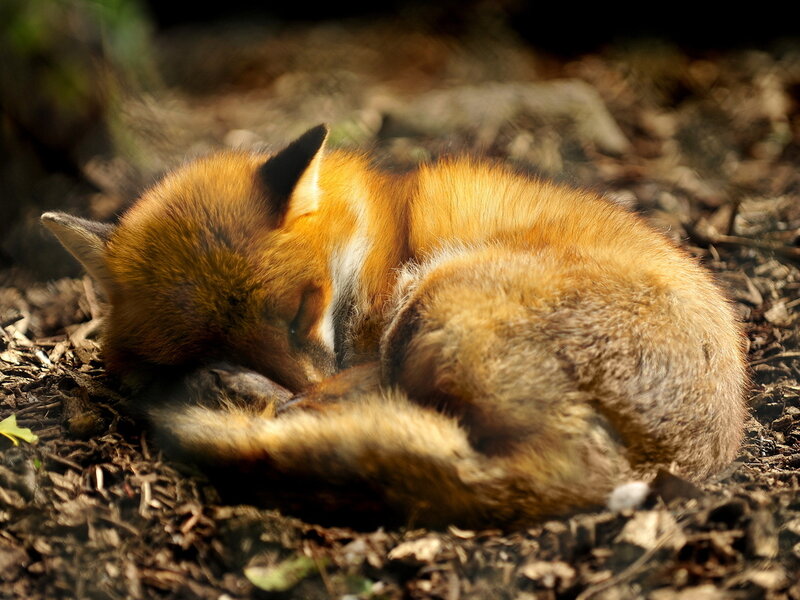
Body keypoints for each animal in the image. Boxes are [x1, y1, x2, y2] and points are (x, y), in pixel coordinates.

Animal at [41, 124, 748, 528]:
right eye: (202, 341)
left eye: (302, 310)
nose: (294, 385)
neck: (374, 235)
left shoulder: (371, 332)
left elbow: (352, 380)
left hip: (439, 298)